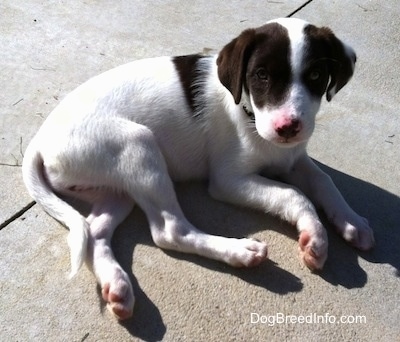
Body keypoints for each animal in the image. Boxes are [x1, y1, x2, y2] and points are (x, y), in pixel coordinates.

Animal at [22, 18, 376, 318]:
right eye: (261, 75)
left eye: (315, 76)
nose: (288, 127)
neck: (249, 113)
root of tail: (40, 140)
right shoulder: (228, 179)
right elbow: (293, 195)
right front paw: (315, 235)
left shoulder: (292, 159)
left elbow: (324, 181)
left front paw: (351, 221)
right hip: (138, 146)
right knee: (170, 231)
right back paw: (239, 251)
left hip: (114, 187)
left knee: (93, 231)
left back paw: (117, 286)